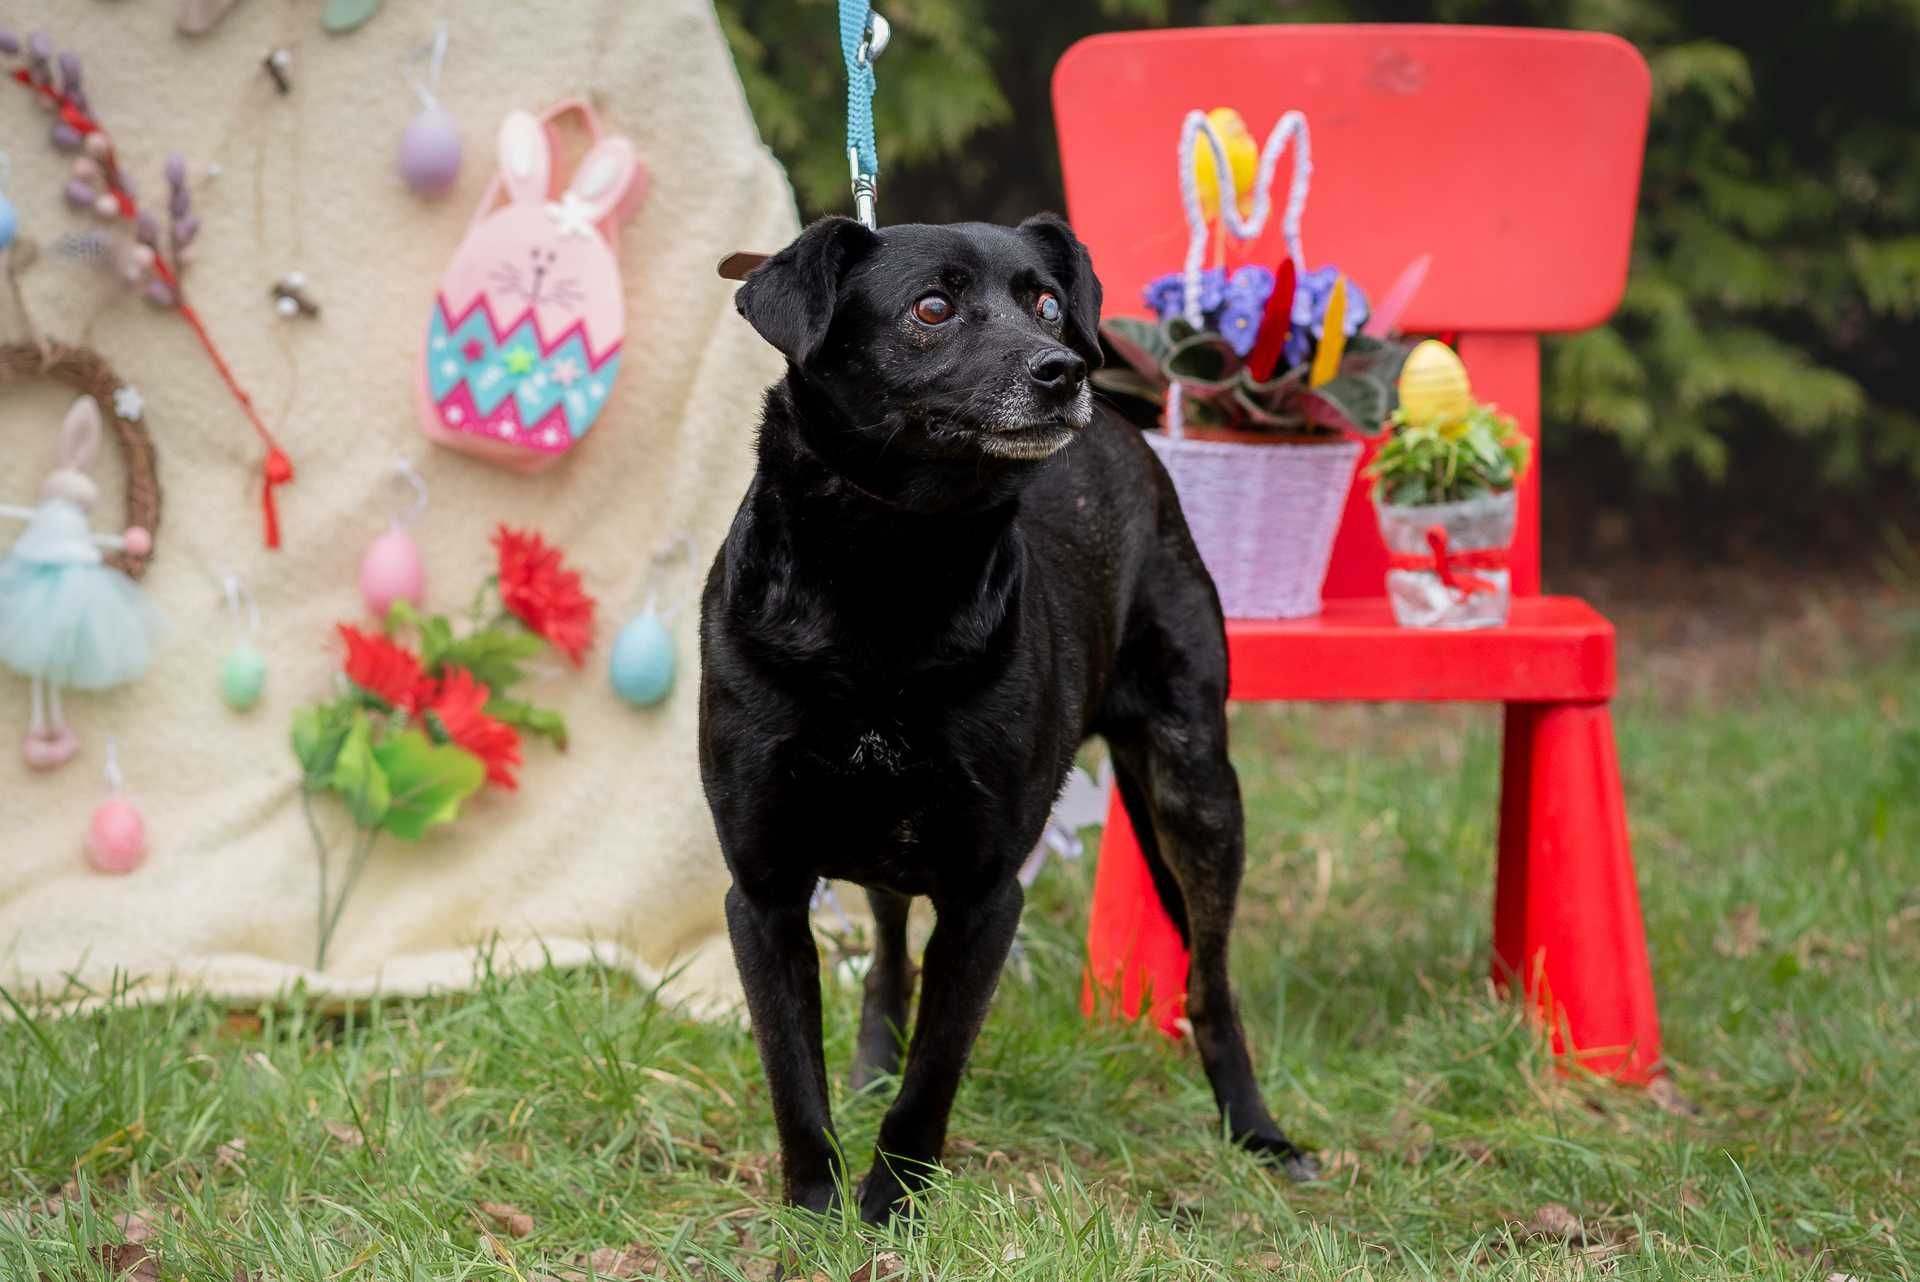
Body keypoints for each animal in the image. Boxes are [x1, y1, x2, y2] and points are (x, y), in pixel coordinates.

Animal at [706, 213, 1320, 1220]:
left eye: (1046, 303)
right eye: (932, 307)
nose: (1062, 370)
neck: (891, 571)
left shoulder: (987, 891)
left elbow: (935, 1074)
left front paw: (892, 1205)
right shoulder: (764, 888)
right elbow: (793, 1070)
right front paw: (816, 1208)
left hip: (1196, 782)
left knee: (1211, 979)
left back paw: (1258, 1132)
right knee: (888, 948)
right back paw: (872, 1059)